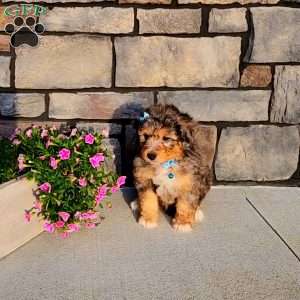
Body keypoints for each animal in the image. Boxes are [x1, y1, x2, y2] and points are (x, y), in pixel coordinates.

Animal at [134, 103, 213, 232]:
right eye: (145, 136)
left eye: (166, 138)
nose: (150, 155)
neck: (166, 163)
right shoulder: (144, 178)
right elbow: (148, 199)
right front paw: (148, 219)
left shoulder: (190, 181)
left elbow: (186, 204)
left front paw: (183, 223)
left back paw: (197, 213)